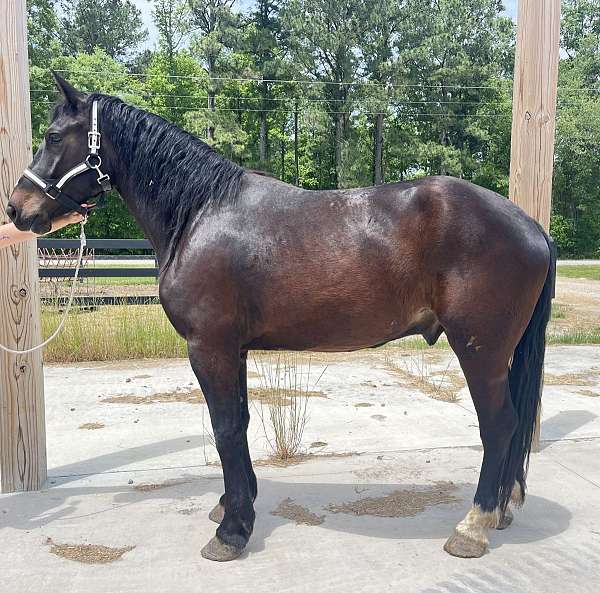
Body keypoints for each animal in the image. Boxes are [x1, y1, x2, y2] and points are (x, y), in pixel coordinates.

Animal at [7, 76, 556, 560]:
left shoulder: (209, 347)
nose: (15, 209)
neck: (200, 213)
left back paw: (473, 527)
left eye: (53, 136)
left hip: (480, 350)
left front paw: (231, 532)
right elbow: (239, 423)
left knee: (500, 425)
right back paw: (500, 511)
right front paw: (233, 504)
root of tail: (530, 226)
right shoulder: (233, 350)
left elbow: (226, 428)